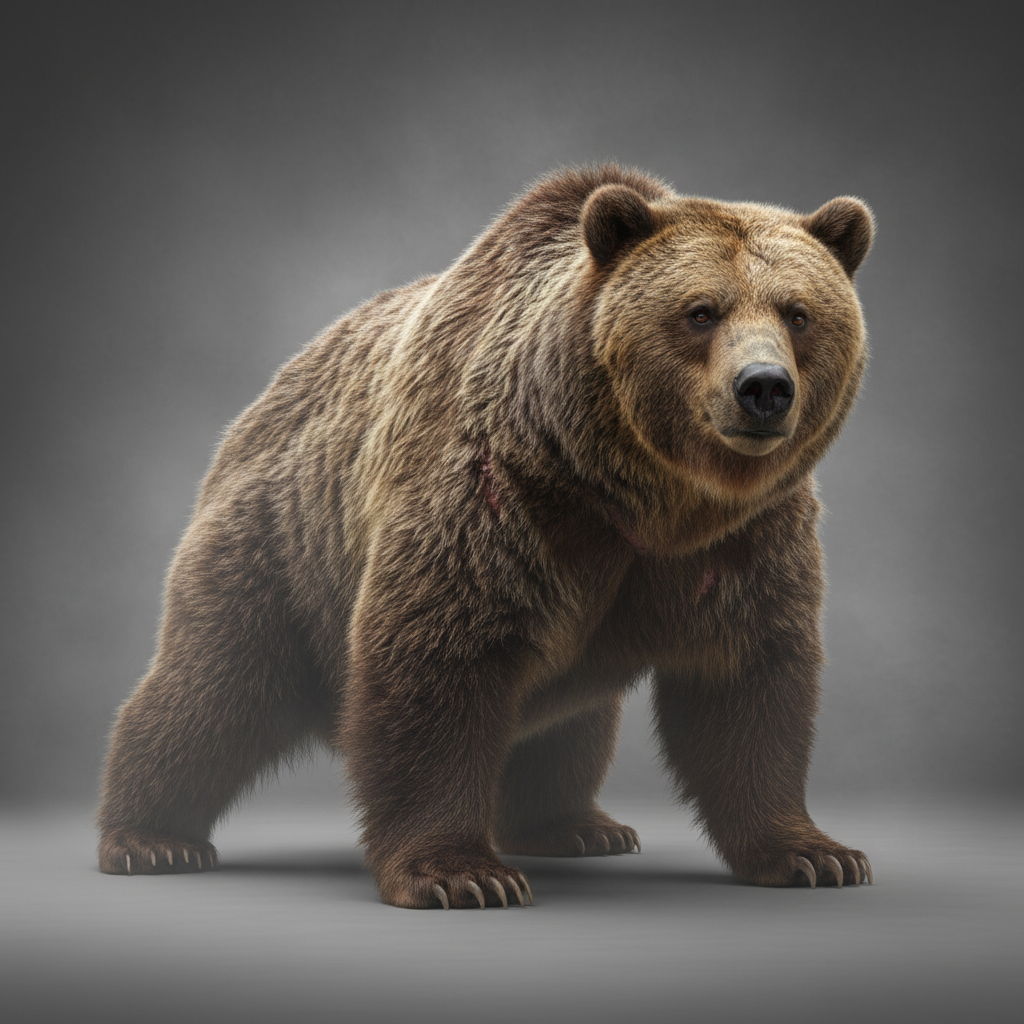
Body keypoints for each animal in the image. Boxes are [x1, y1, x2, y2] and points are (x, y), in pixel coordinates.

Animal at [98, 164, 875, 908]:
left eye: (799, 313)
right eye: (700, 311)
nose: (763, 387)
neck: (641, 495)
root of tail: (263, 399)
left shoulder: (744, 539)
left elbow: (749, 682)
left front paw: (816, 855)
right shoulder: (498, 496)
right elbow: (436, 662)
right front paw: (461, 875)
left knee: (570, 726)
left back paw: (577, 826)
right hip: (280, 547)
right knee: (213, 690)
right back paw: (149, 838)